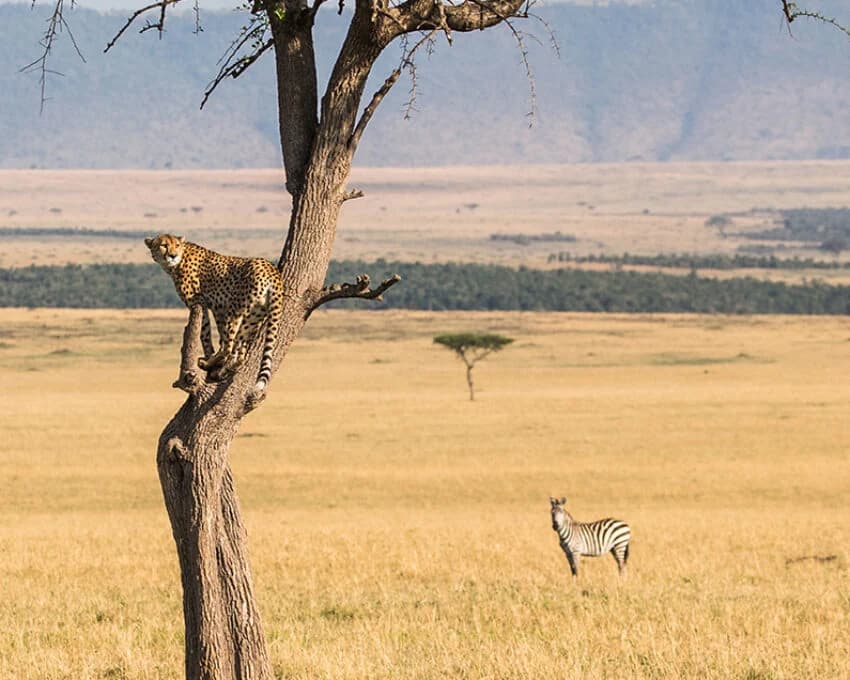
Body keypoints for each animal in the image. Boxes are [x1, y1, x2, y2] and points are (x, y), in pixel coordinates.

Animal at [145, 233, 284, 390]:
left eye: (177, 245)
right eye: (164, 245)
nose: (173, 255)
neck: (177, 263)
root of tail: (272, 270)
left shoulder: (198, 303)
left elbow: (205, 334)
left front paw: (209, 356)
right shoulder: (219, 308)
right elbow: (219, 334)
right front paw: (216, 359)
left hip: (235, 310)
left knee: (229, 346)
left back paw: (209, 364)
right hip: (254, 316)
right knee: (240, 351)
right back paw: (224, 369)